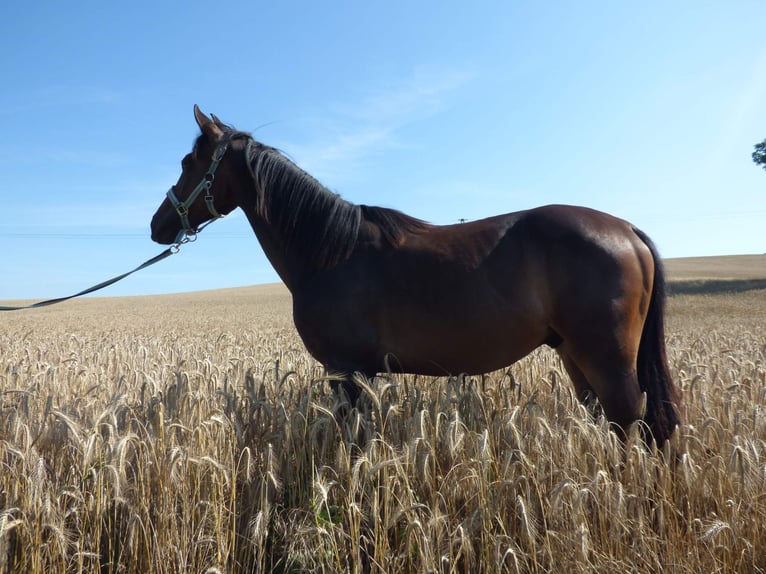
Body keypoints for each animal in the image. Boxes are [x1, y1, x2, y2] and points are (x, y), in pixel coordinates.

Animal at [150, 109, 684, 450]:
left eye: (187, 162)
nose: (158, 225)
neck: (329, 250)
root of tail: (626, 230)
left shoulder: (349, 373)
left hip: (608, 361)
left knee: (632, 424)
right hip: (576, 357)